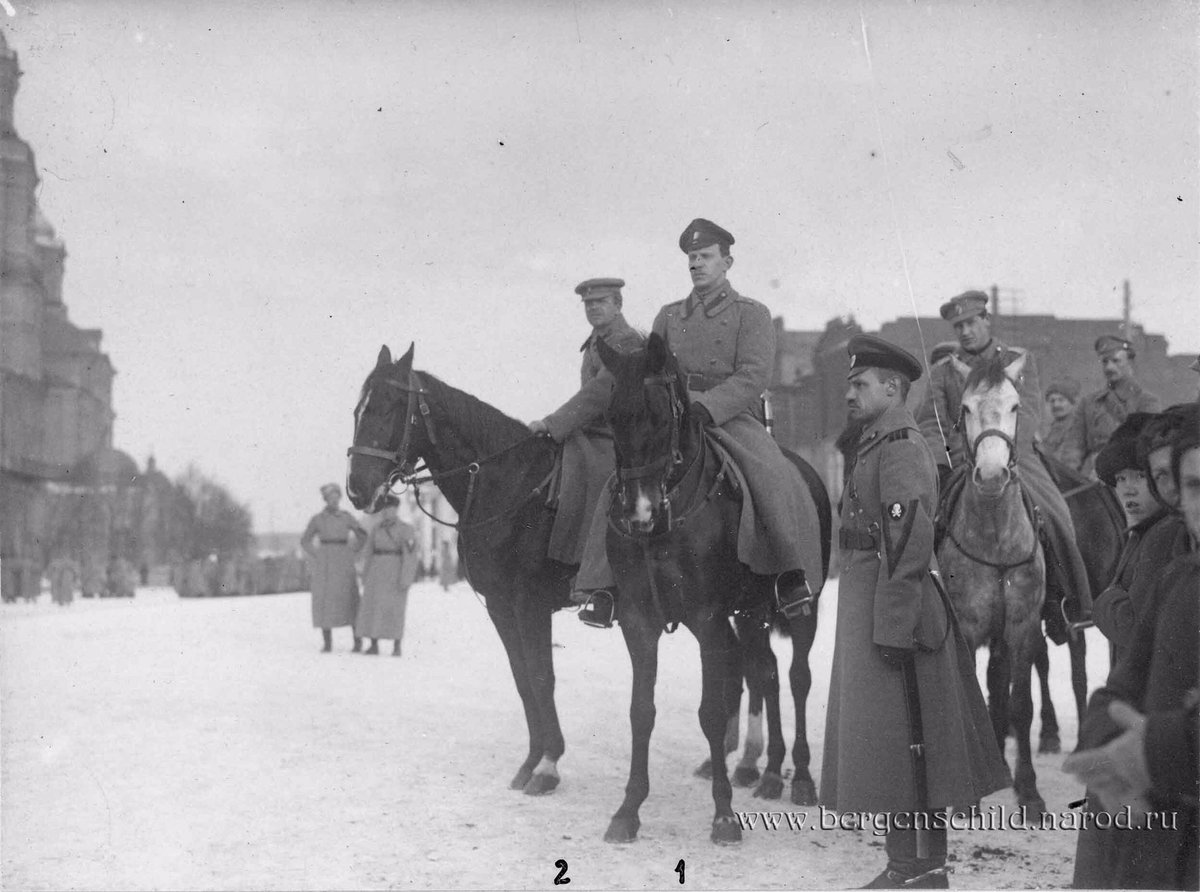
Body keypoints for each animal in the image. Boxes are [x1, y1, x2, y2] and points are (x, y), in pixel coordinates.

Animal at [345, 345, 573, 797]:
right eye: (358, 410)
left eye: (389, 407)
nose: (356, 489)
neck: (514, 487)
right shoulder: (501, 605)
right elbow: (524, 679)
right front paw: (531, 761)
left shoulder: (531, 603)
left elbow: (542, 676)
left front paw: (548, 765)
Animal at [595, 336, 830, 845]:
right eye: (612, 417)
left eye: (661, 417)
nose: (638, 512)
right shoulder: (638, 623)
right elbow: (641, 711)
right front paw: (628, 810)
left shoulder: (707, 619)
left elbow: (712, 709)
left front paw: (723, 815)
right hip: (750, 614)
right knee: (767, 672)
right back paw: (768, 772)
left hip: (804, 608)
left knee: (797, 677)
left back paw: (800, 778)